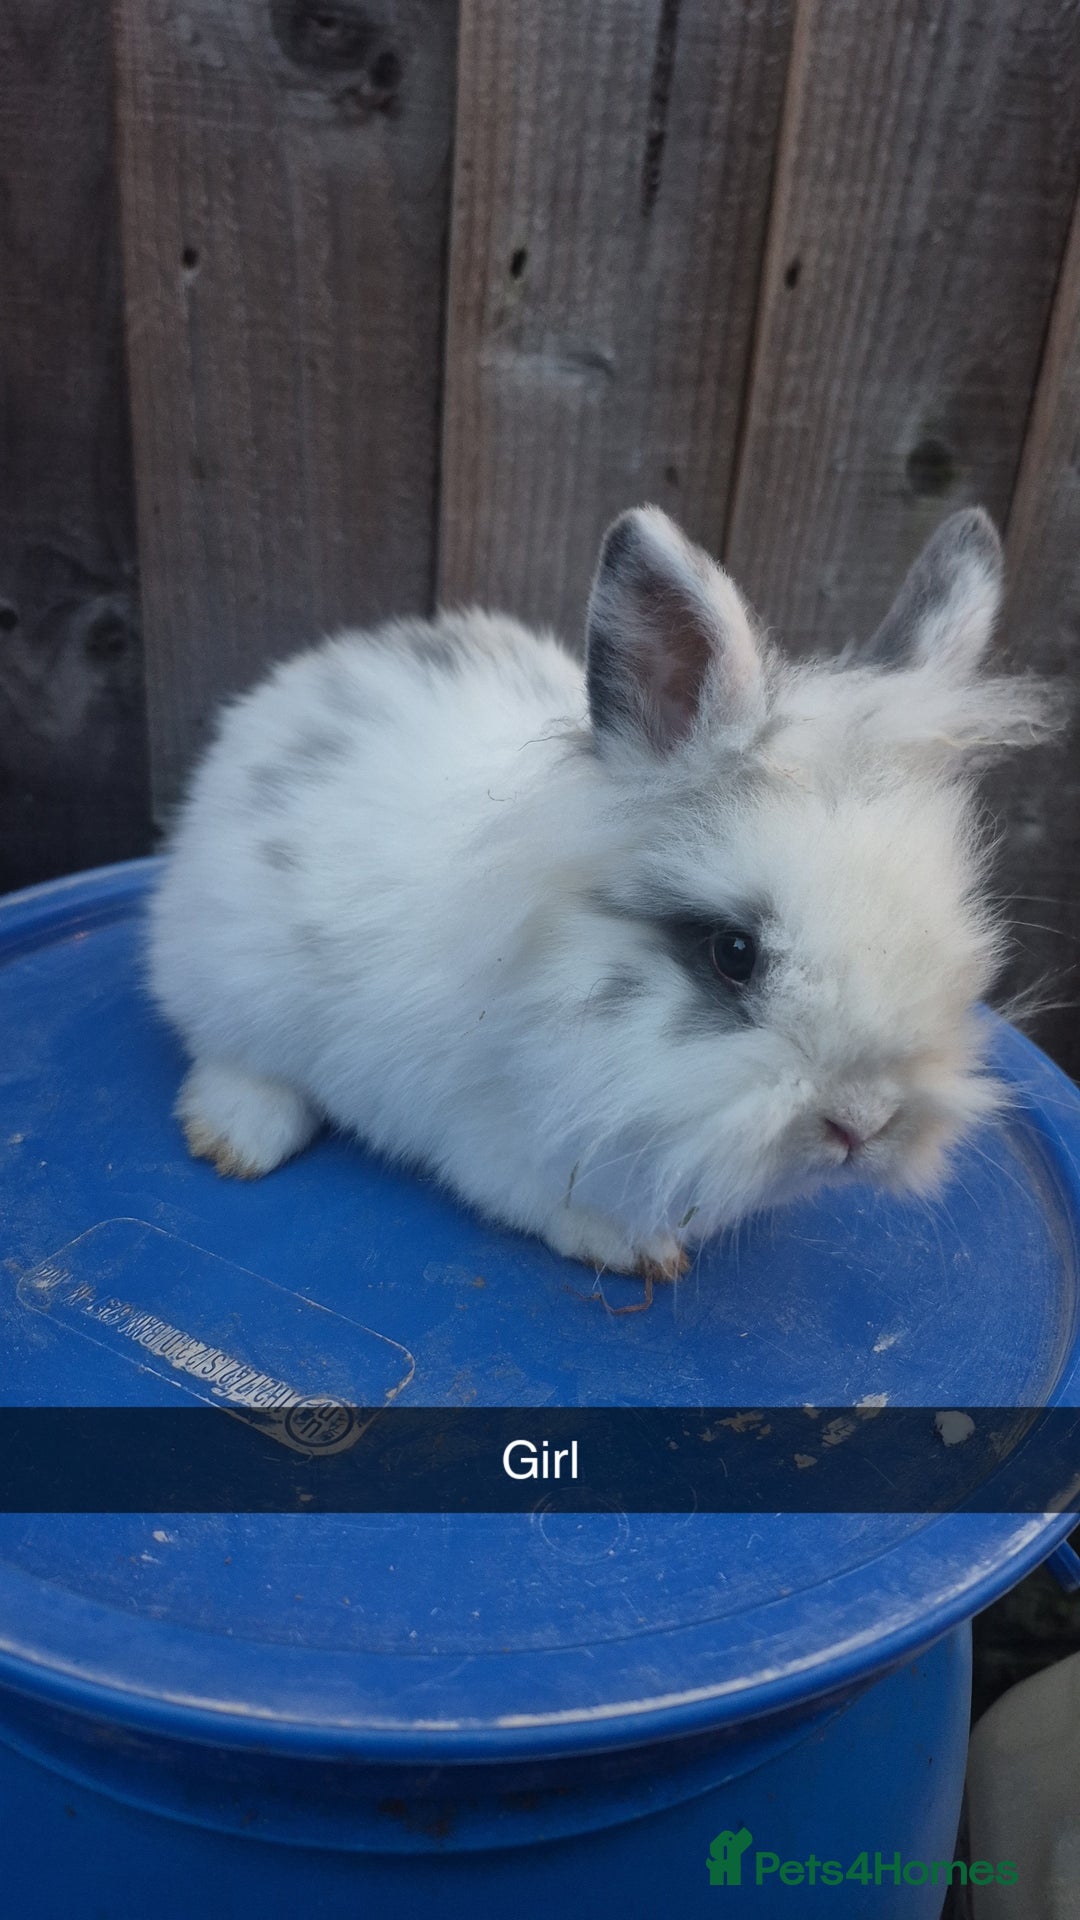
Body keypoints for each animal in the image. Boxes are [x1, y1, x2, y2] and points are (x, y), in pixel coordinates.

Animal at [147, 504, 1054, 1280]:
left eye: (960, 946)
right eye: (734, 953)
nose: (863, 1123)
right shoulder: (490, 1139)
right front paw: (641, 1251)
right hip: (229, 975)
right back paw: (235, 1138)